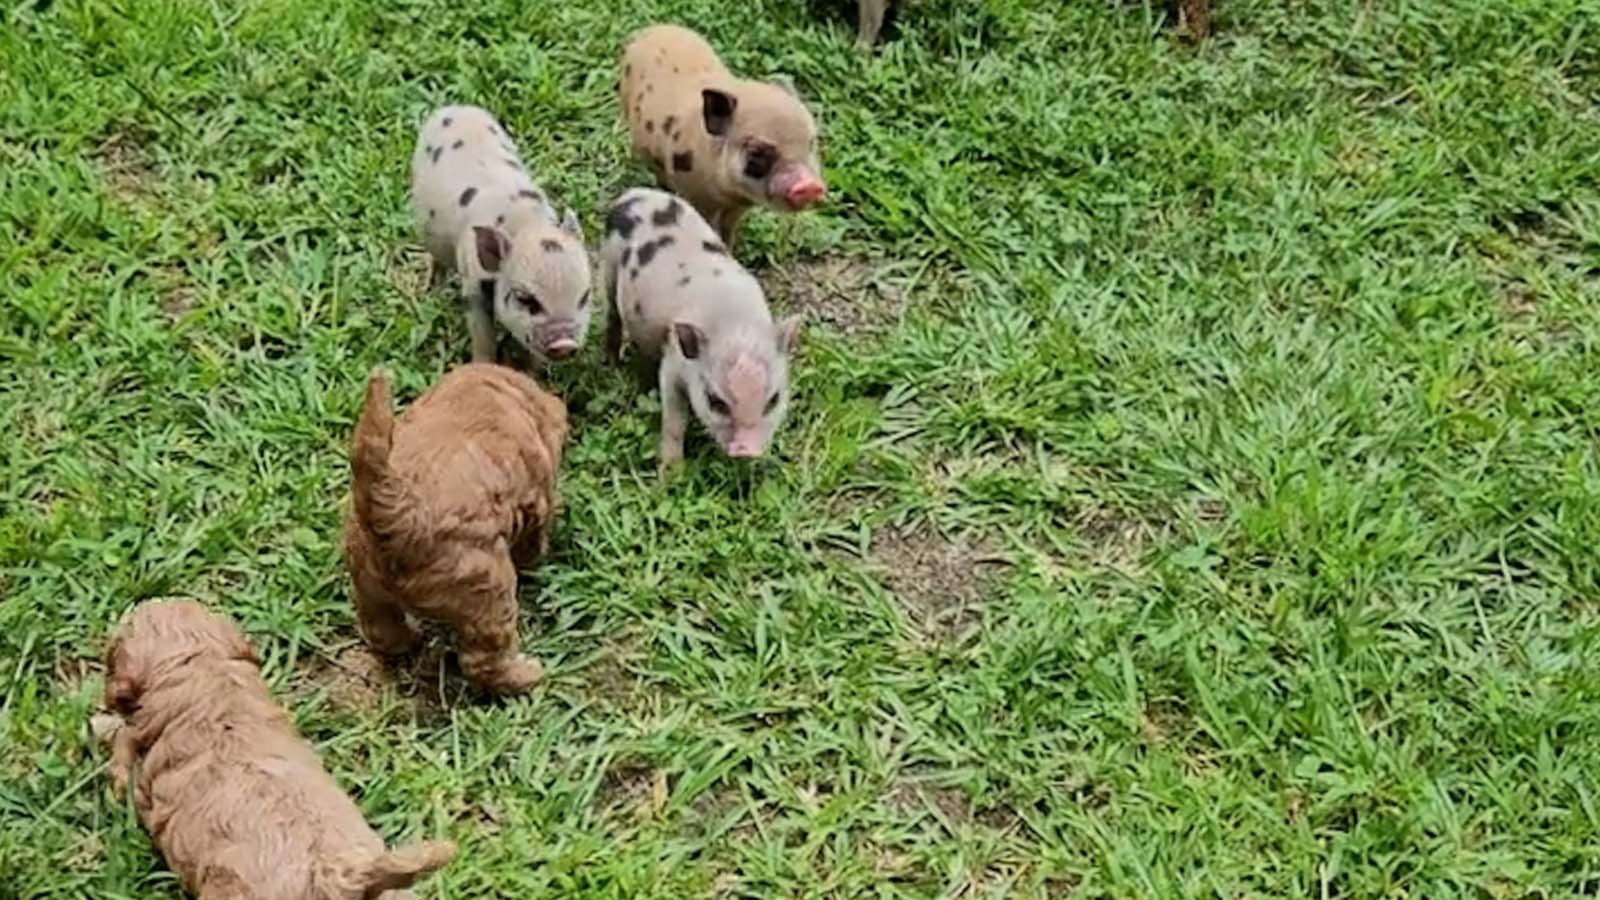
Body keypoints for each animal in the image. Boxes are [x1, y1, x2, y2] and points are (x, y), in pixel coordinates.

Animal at [340, 365, 566, 695]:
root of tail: (393, 511)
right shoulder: (537, 496)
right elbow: (534, 537)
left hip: (366, 578)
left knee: (380, 628)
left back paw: (407, 640)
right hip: (488, 589)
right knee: (481, 661)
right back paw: (527, 675)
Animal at [412, 106, 595, 366]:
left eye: (584, 297)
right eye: (524, 298)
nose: (565, 344)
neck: (527, 225)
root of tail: (454, 108)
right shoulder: (472, 285)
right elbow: (483, 335)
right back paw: (433, 289)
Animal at [601, 188, 800, 470]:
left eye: (773, 399)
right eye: (715, 401)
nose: (747, 450)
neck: (734, 323)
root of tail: (633, 194)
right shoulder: (672, 361)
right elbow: (675, 421)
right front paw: (670, 474)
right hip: (607, 268)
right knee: (612, 316)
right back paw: (612, 363)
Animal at [617, 26, 825, 246]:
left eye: (811, 143)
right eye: (756, 152)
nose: (810, 186)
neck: (728, 195)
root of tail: (650, 30)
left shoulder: (737, 207)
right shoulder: (696, 194)